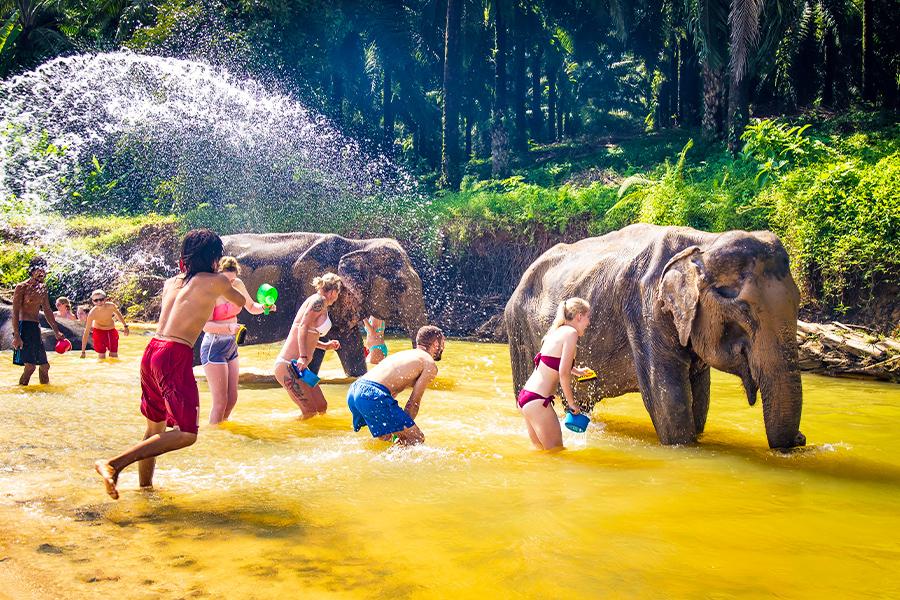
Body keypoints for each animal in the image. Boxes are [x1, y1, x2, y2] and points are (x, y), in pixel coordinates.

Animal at [505, 223, 806, 450]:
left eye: (799, 304)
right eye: (743, 310)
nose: (801, 439)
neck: (703, 244)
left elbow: (699, 401)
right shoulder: (645, 311)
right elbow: (669, 402)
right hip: (518, 331)